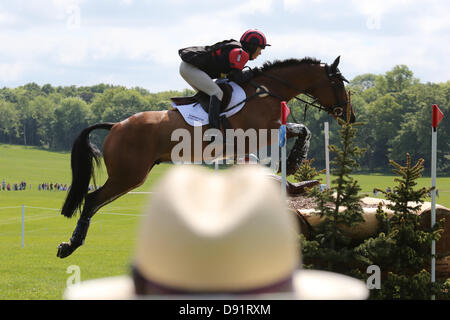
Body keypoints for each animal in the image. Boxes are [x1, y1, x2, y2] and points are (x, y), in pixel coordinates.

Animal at [56, 56, 354, 258]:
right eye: (337, 82)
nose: (350, 116)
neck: (266, 91)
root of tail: (116, 125)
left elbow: (292, 137)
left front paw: (295, 174)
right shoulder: (262, 133)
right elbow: (301, 130)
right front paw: (294, 163)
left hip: (130, 176)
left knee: (94, 201)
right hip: (128, 176)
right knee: (92, 200)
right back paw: (70, 245)